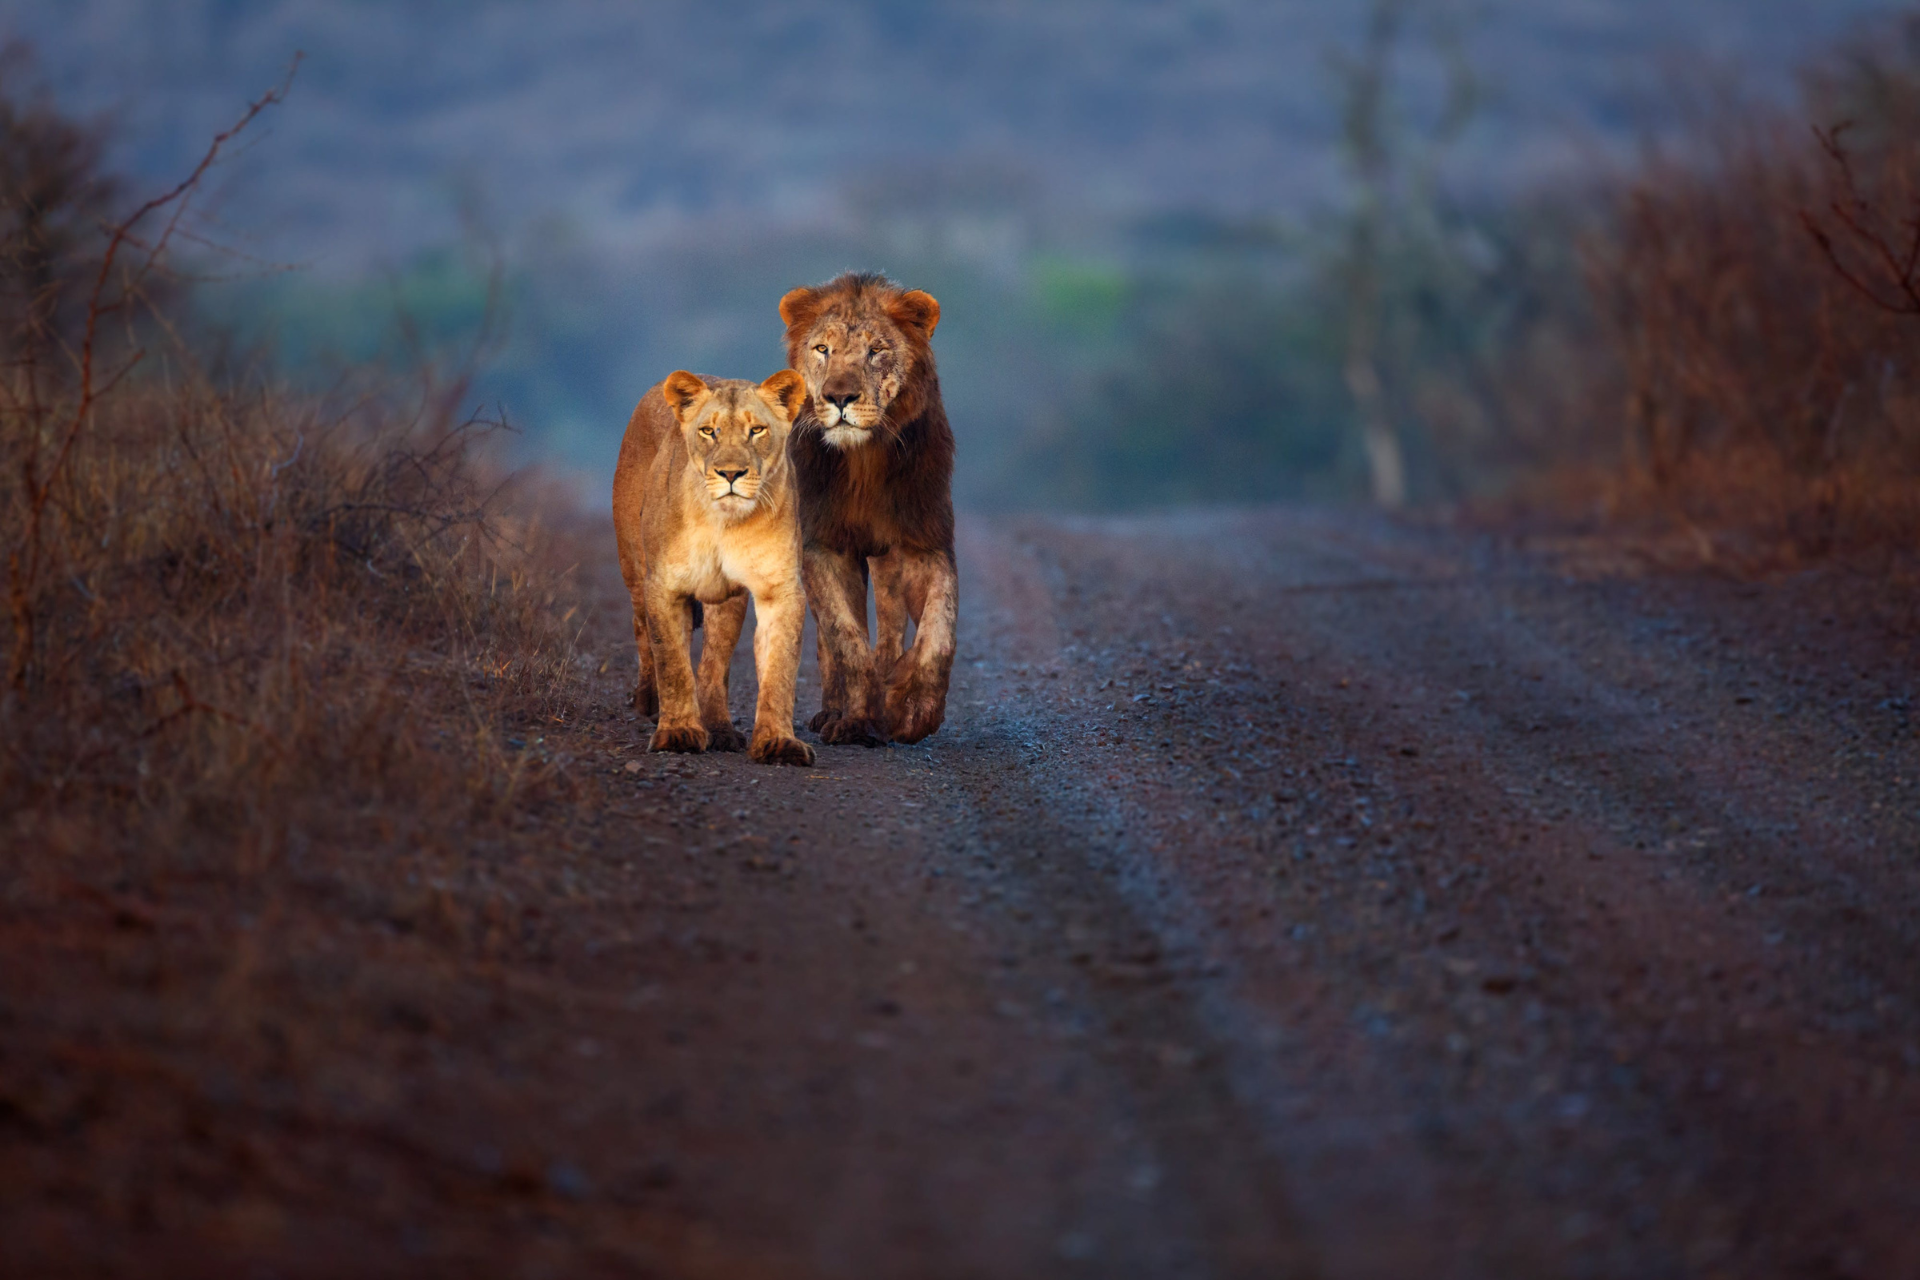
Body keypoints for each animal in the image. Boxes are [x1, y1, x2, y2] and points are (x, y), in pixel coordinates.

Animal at [611, 369, 815, 766]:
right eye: (709, 431)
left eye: (757, 430)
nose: (731, 473)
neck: (724, 521)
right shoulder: (664, 586)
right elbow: (672, 663)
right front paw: (677, 733)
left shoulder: (780, 590)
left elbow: (779, 670)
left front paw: (778, 741)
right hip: (634, 569)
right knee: (642, 629)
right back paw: (648, 701)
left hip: (726, 597)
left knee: (713, 665)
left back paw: (720, 729)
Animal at [778, 272, 957, 746]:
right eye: (823, 349)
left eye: (875, 350)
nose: (839, 397)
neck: (864, 462)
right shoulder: (822, 546)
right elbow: (846, 640)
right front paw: (857, 722)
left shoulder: (922, 543)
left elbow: (939, 632)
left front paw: (914, 710)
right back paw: (832, 712)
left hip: (886, 562)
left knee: (892, 629)